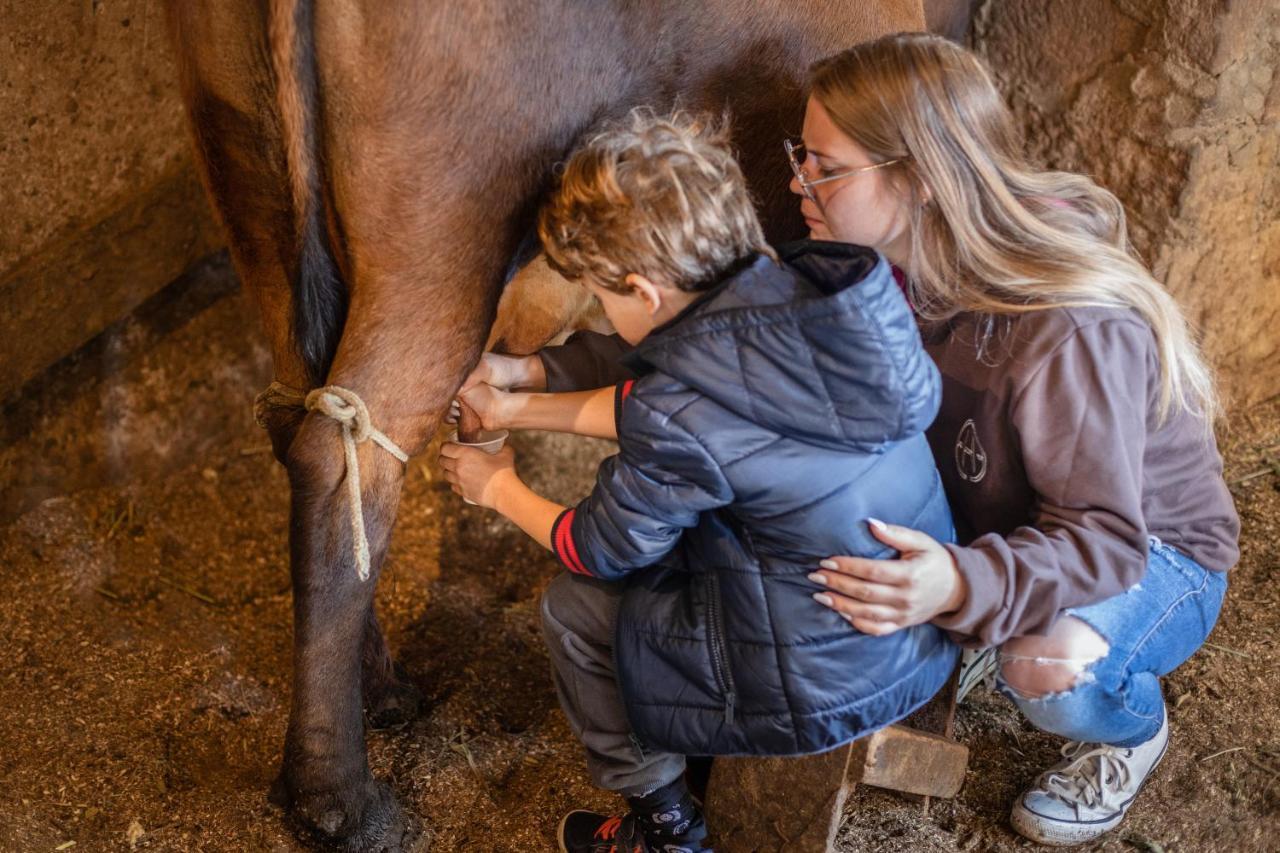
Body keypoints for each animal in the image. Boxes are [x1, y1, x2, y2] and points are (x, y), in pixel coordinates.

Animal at [165, 0, 962, 845]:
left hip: (252, 187)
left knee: (301, 421)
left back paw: (381, 693)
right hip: (444, 222)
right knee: (347, 452)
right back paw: (338, 800)